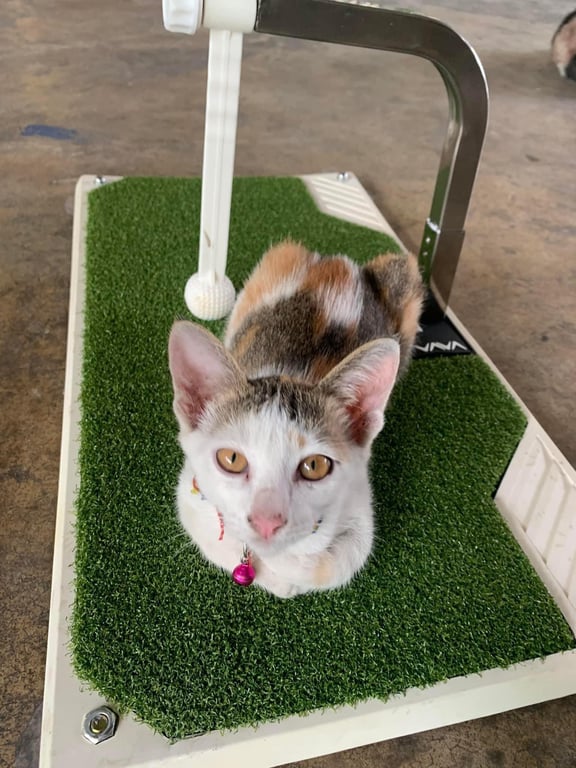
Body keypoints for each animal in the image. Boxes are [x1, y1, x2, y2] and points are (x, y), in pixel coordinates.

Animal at [168, 240, 424, 598]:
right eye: (231, 459)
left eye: (315, 466)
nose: (267, 521)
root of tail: (338, 262)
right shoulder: (190, 493)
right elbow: (213, 533)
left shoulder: (358, 496)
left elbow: (340, 559)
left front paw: (292, 566)